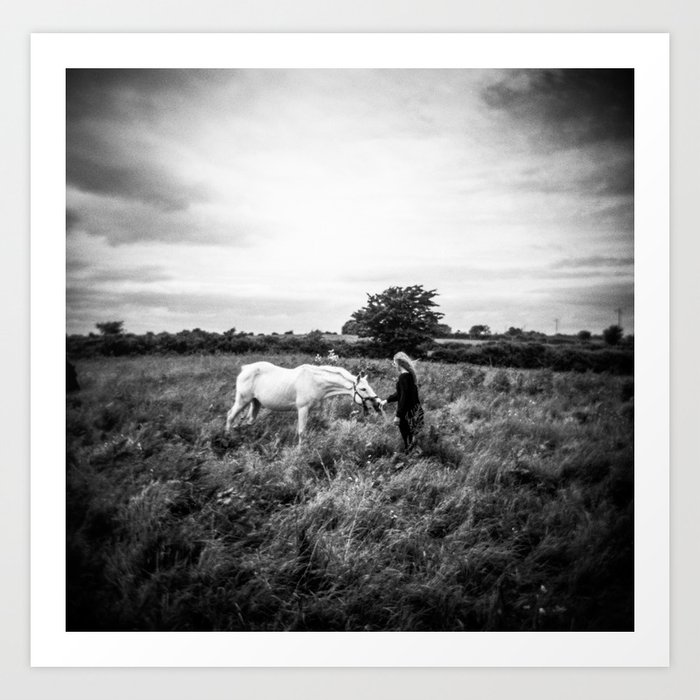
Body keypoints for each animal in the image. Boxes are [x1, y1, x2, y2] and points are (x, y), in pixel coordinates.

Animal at [224, 364, 380, 440]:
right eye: (363, 388)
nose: (377, 403)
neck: (315, 381)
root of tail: (245, 369)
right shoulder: (302, 409)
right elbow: (301, 432)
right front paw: (300, 452)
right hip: (242, 401)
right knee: (230, 416)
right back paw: (228, 436)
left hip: (255, 402)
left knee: (248, 421)